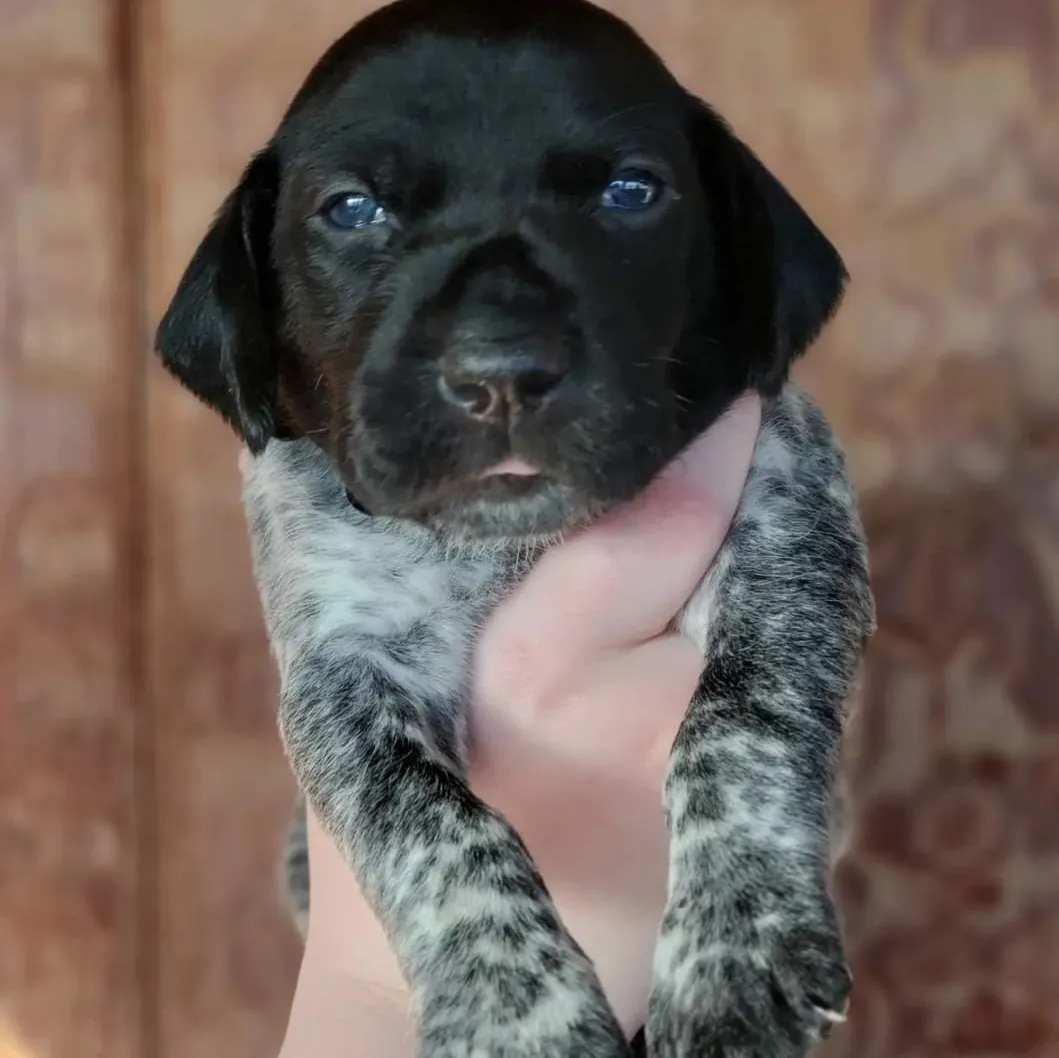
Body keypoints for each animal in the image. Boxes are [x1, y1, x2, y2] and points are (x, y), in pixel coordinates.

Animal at [154, 2, 868, 1058]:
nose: (502, 371)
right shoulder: (341, 670)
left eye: (630, 192)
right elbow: (432, 825)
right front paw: (514, 1011)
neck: (500, 543)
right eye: (352, 210)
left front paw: (732, 942)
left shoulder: (790, 518)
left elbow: (740, 720)